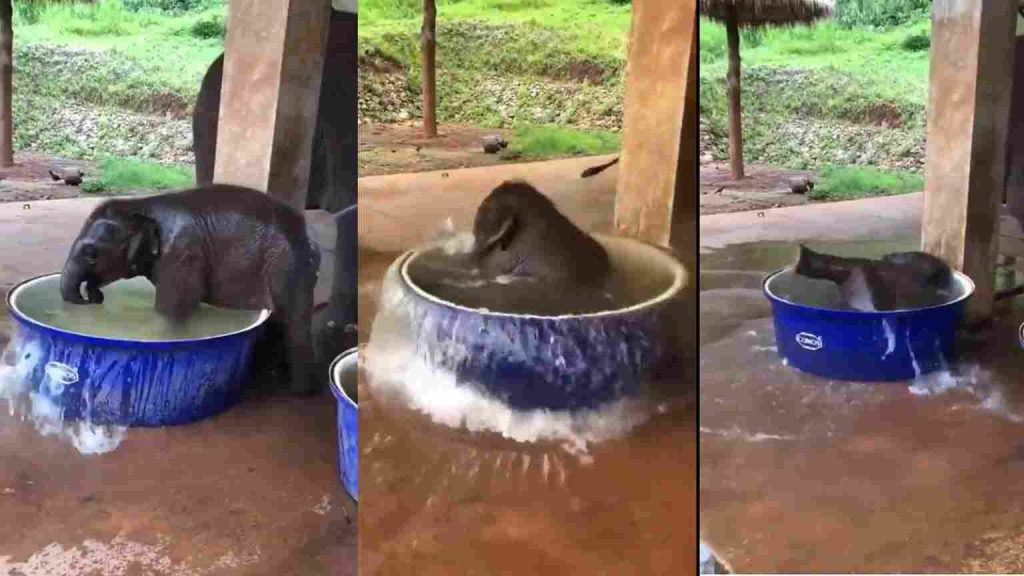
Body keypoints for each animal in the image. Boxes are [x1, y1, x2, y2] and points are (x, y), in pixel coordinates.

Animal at [60, 184, 322, 395]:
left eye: (91, 255)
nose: (92, 298)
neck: (141, 206)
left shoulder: (182, 254)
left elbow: (169, 312)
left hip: (287, 267)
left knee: (294, 325)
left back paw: (299, 391)